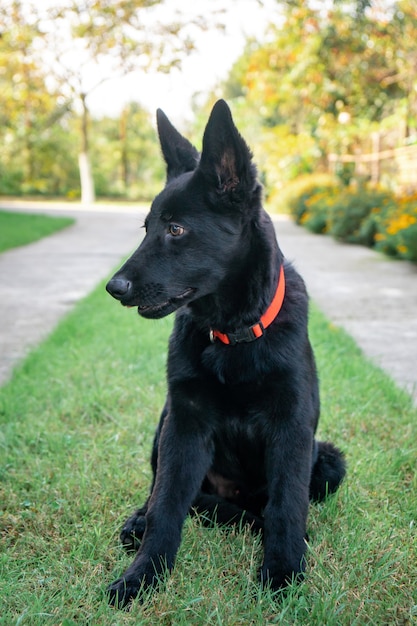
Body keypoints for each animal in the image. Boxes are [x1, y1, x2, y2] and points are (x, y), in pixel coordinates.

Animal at [105, 101, 344, 604]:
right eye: (147, 228)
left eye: (176, 229)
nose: (114, 288)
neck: (232, 334)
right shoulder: (185, 420)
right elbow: (167, 504)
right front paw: (143, 576)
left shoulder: (292, 425)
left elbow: (286, 506)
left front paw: (283, 571)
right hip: (165, 421)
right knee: (168, 492)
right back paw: (139, 520)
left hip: (329, 459)